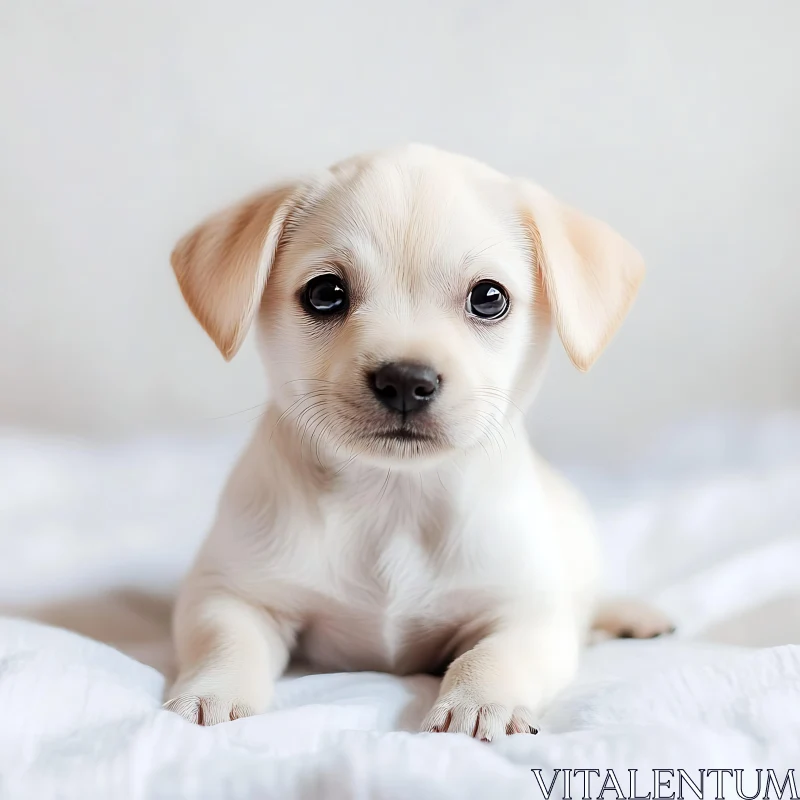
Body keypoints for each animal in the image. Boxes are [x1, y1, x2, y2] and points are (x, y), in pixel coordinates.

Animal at [166, 144, 672, 736]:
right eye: (324, 293)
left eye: (489, 298)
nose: (406, 380)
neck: (394, 499)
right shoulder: (230, 593)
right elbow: (227, 642)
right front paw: (215, 692)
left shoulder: (527, 614)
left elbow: (493, 655)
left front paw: (481, 702)